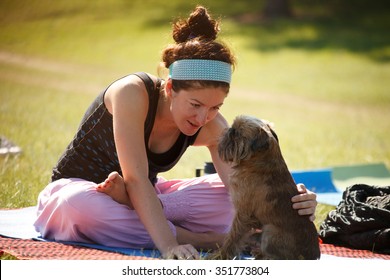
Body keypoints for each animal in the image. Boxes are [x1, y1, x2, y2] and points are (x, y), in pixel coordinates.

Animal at [213, 115, 320, 260]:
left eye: (237, 133)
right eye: (233, 128)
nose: (229, 130)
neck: (257, 162)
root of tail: (312, 256)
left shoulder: (243, 213)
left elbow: (233, 237)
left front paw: (219, 256)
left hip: (270, 231)